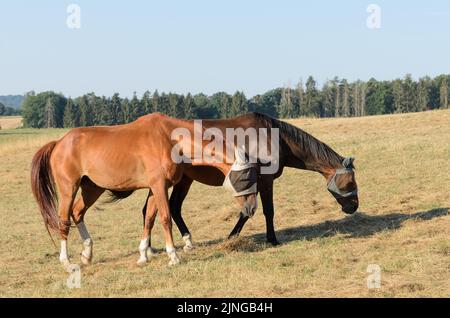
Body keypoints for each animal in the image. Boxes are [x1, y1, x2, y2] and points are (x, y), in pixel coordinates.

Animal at [30, 113, 256, 268]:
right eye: (244, 177)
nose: (252, 208)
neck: (170, 139)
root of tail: (59, 142)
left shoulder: (156, 188)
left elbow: (149, 218)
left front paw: (142, 255)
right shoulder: (159, 187)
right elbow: (165, 218)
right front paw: (173, 256)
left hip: (92, 189)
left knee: (77, 213)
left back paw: (87, 254)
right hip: (69, 189)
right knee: (64, 219)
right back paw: (66, 261)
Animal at [141, 112, 358, 251]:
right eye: (351, 182)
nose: (354, 207)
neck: (273, 137)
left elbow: (247, 212)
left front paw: (233, 237)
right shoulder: (265, 181)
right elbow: (265, 211)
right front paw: (270, 239)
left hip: (183, 180)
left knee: (166, 208)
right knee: (169, 208)